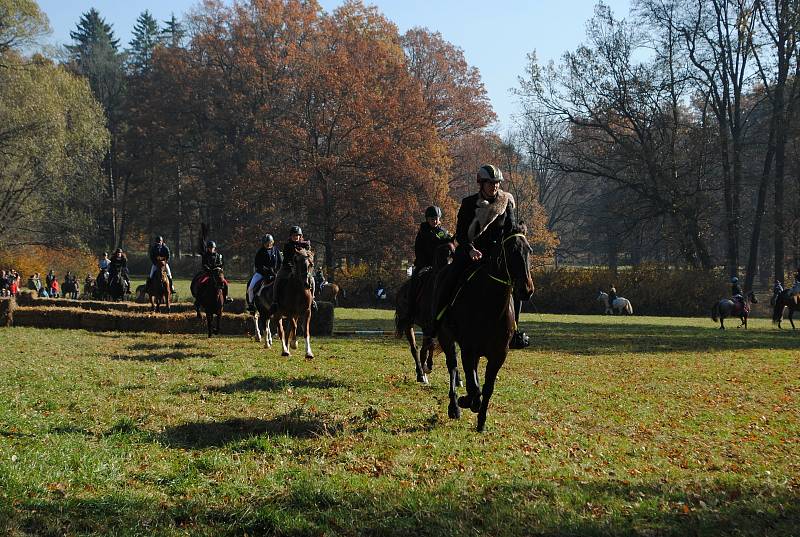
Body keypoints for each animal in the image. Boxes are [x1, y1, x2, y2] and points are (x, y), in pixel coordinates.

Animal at [434, 228, 536, 434]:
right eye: (512, 251)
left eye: (529, 250)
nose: (527, 290)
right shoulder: (468, 349)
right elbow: (474, 385)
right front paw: (466, 402)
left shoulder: (498, 354)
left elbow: (487, 388)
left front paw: (481, 422)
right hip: (446, 337)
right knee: (453, 367)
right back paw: (454, 407)